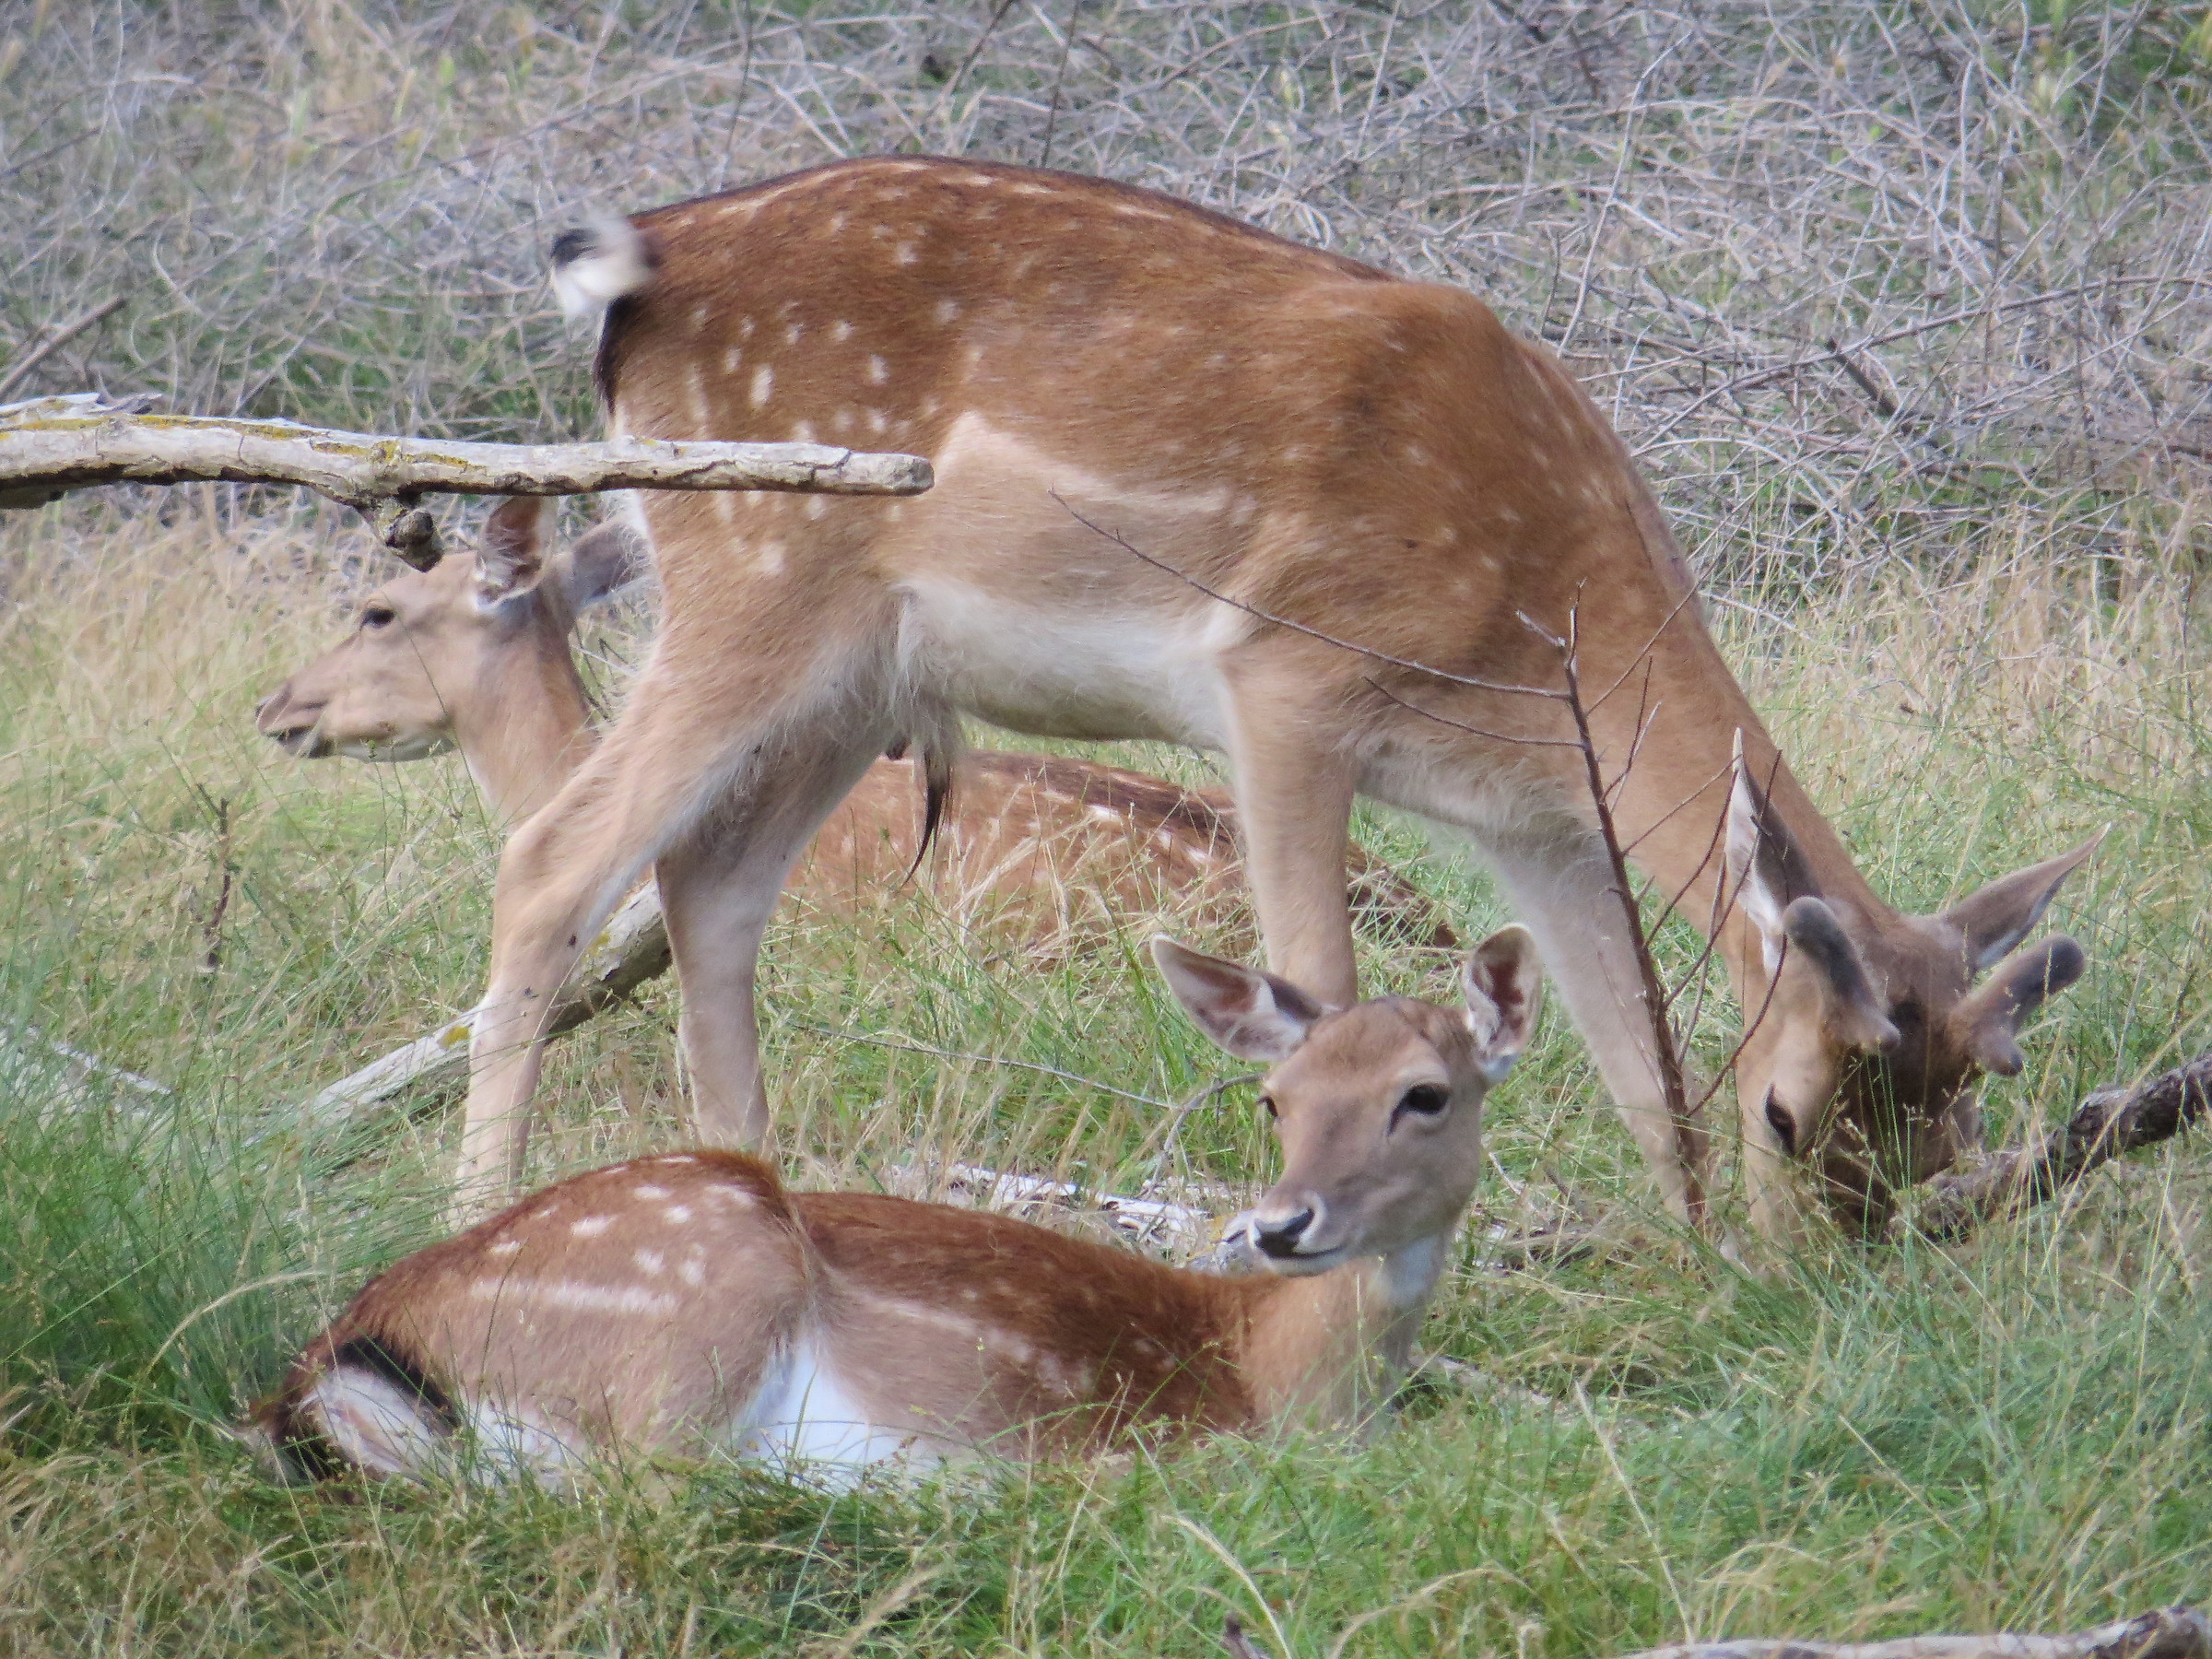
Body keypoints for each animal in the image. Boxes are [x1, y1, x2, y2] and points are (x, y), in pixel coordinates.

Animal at [252, 926, 1541, 1483]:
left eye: (1425, 1094)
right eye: (1275, 1099)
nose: (1277, 1226)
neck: (1275, 1381)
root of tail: (339, 1359)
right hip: (703, 1290)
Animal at [448, 153, 2093, 1243]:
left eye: (1956, 1127)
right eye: (1790, 1113)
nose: (1818, 1276)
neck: (1545, 614)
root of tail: (636, 273)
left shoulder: (1540, 814)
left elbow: (1638, 1055)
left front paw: (1684, 1268)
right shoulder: (1290, 677)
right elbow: (1323, 989)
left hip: (859, 671)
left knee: (708, 889)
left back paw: (762, 1203)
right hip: (755, 570)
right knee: (552, 860)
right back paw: (473, 1218)